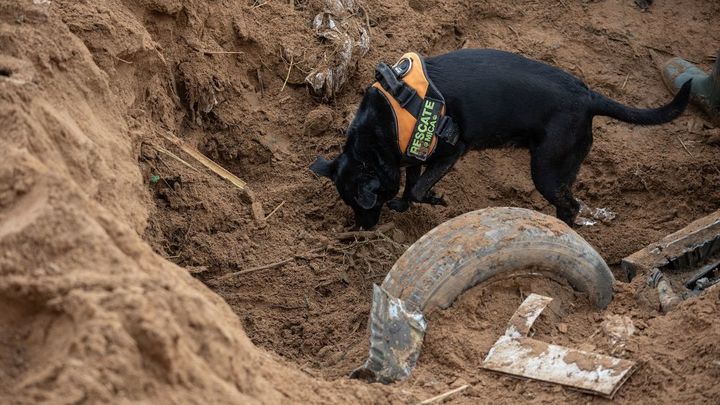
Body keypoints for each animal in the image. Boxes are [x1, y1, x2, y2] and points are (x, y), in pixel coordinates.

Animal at [310, 48, 692, 227]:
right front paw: (405, 203)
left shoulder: (453, 149)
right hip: (560, 170)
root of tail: (588, 97)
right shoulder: (416, 149)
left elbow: (419, 187)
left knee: (571, 205)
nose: (362, 229)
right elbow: (411, 182)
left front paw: (434, 199)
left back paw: (562, 226)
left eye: (363, 205)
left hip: (546, 170)